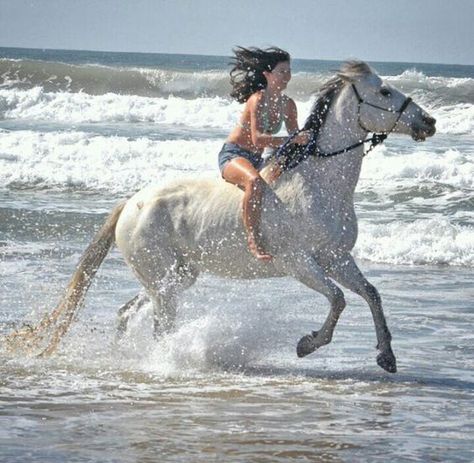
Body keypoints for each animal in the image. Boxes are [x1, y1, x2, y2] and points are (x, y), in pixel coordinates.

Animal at [6, 61, 436, 374]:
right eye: (385, 91)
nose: (429, 122)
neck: (319, 184)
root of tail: (131, 203)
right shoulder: (300, 263)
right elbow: (339, 299)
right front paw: (307, 345)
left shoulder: (336, 258)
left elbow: (371, 294)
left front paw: (386, 357)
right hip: (164, 280)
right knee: (161, 324)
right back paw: (166, 364)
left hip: (175, 276)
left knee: (128, 312)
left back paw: (125, 358)